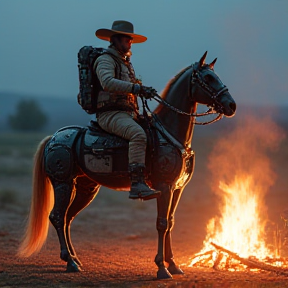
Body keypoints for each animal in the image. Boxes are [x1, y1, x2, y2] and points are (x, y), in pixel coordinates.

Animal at [18, 51, 236, 280]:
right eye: (208, 78)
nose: (232, 106)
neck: (168, 133)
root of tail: (53, 138)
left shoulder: (177, 189)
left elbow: (170, 223)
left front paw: (174, 264)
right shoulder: (164, 187)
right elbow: (161, 223)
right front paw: (162, 267)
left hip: (86, 188)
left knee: (68, 217)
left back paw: (75, 258)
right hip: (63, 183)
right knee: (58, 217)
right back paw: (69, 261)